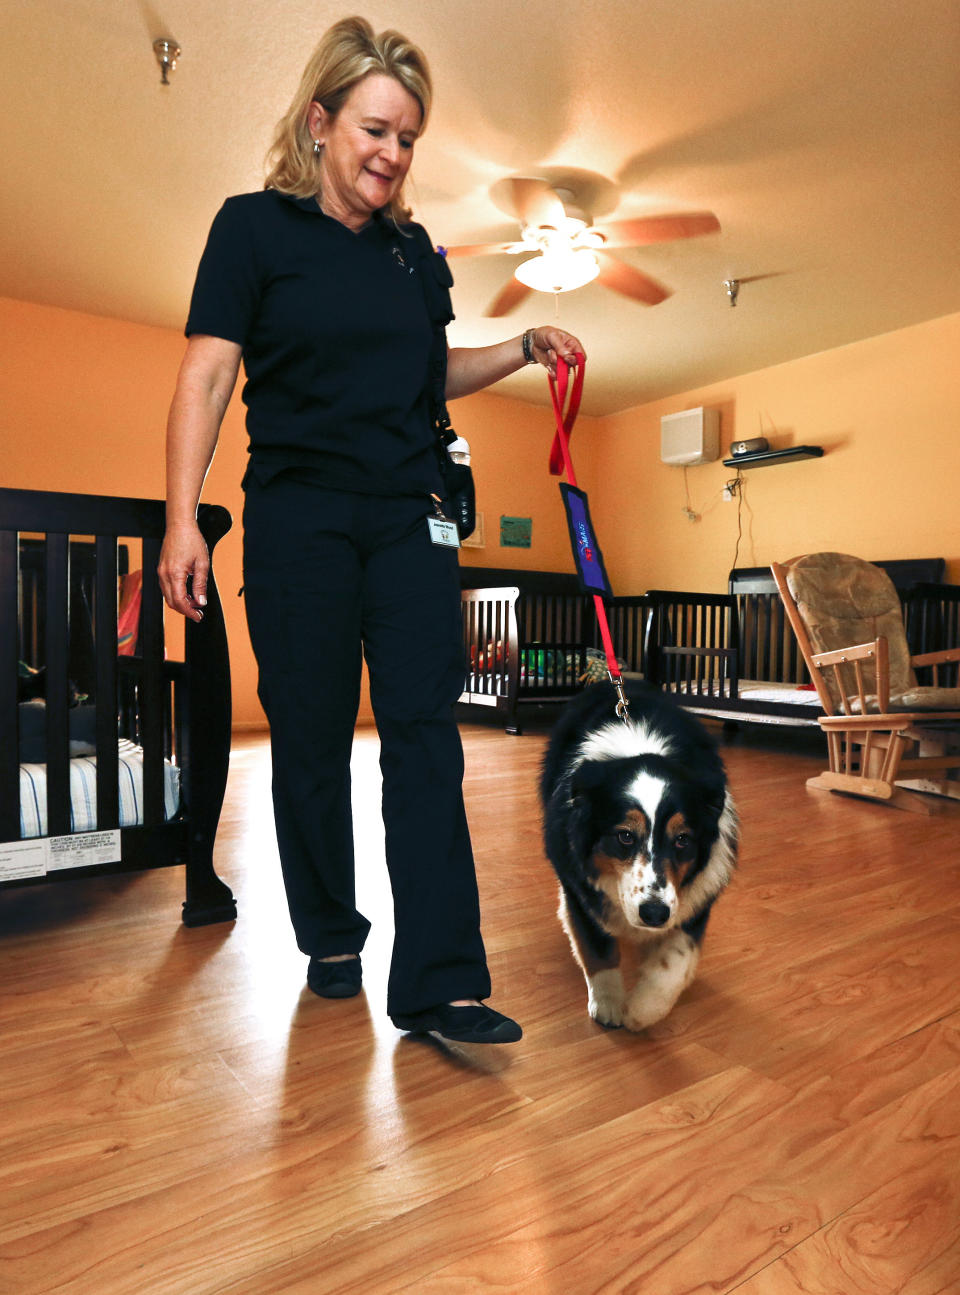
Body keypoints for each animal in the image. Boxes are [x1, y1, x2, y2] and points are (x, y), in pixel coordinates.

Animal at [538, 678, 735, 1030]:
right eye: (625, 836)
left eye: (682, 840)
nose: (654, 914)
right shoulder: (578, 886)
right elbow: (597, 947)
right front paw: (610, 1005)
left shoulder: (698, 895)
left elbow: (676, 959)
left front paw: (643, 1008)